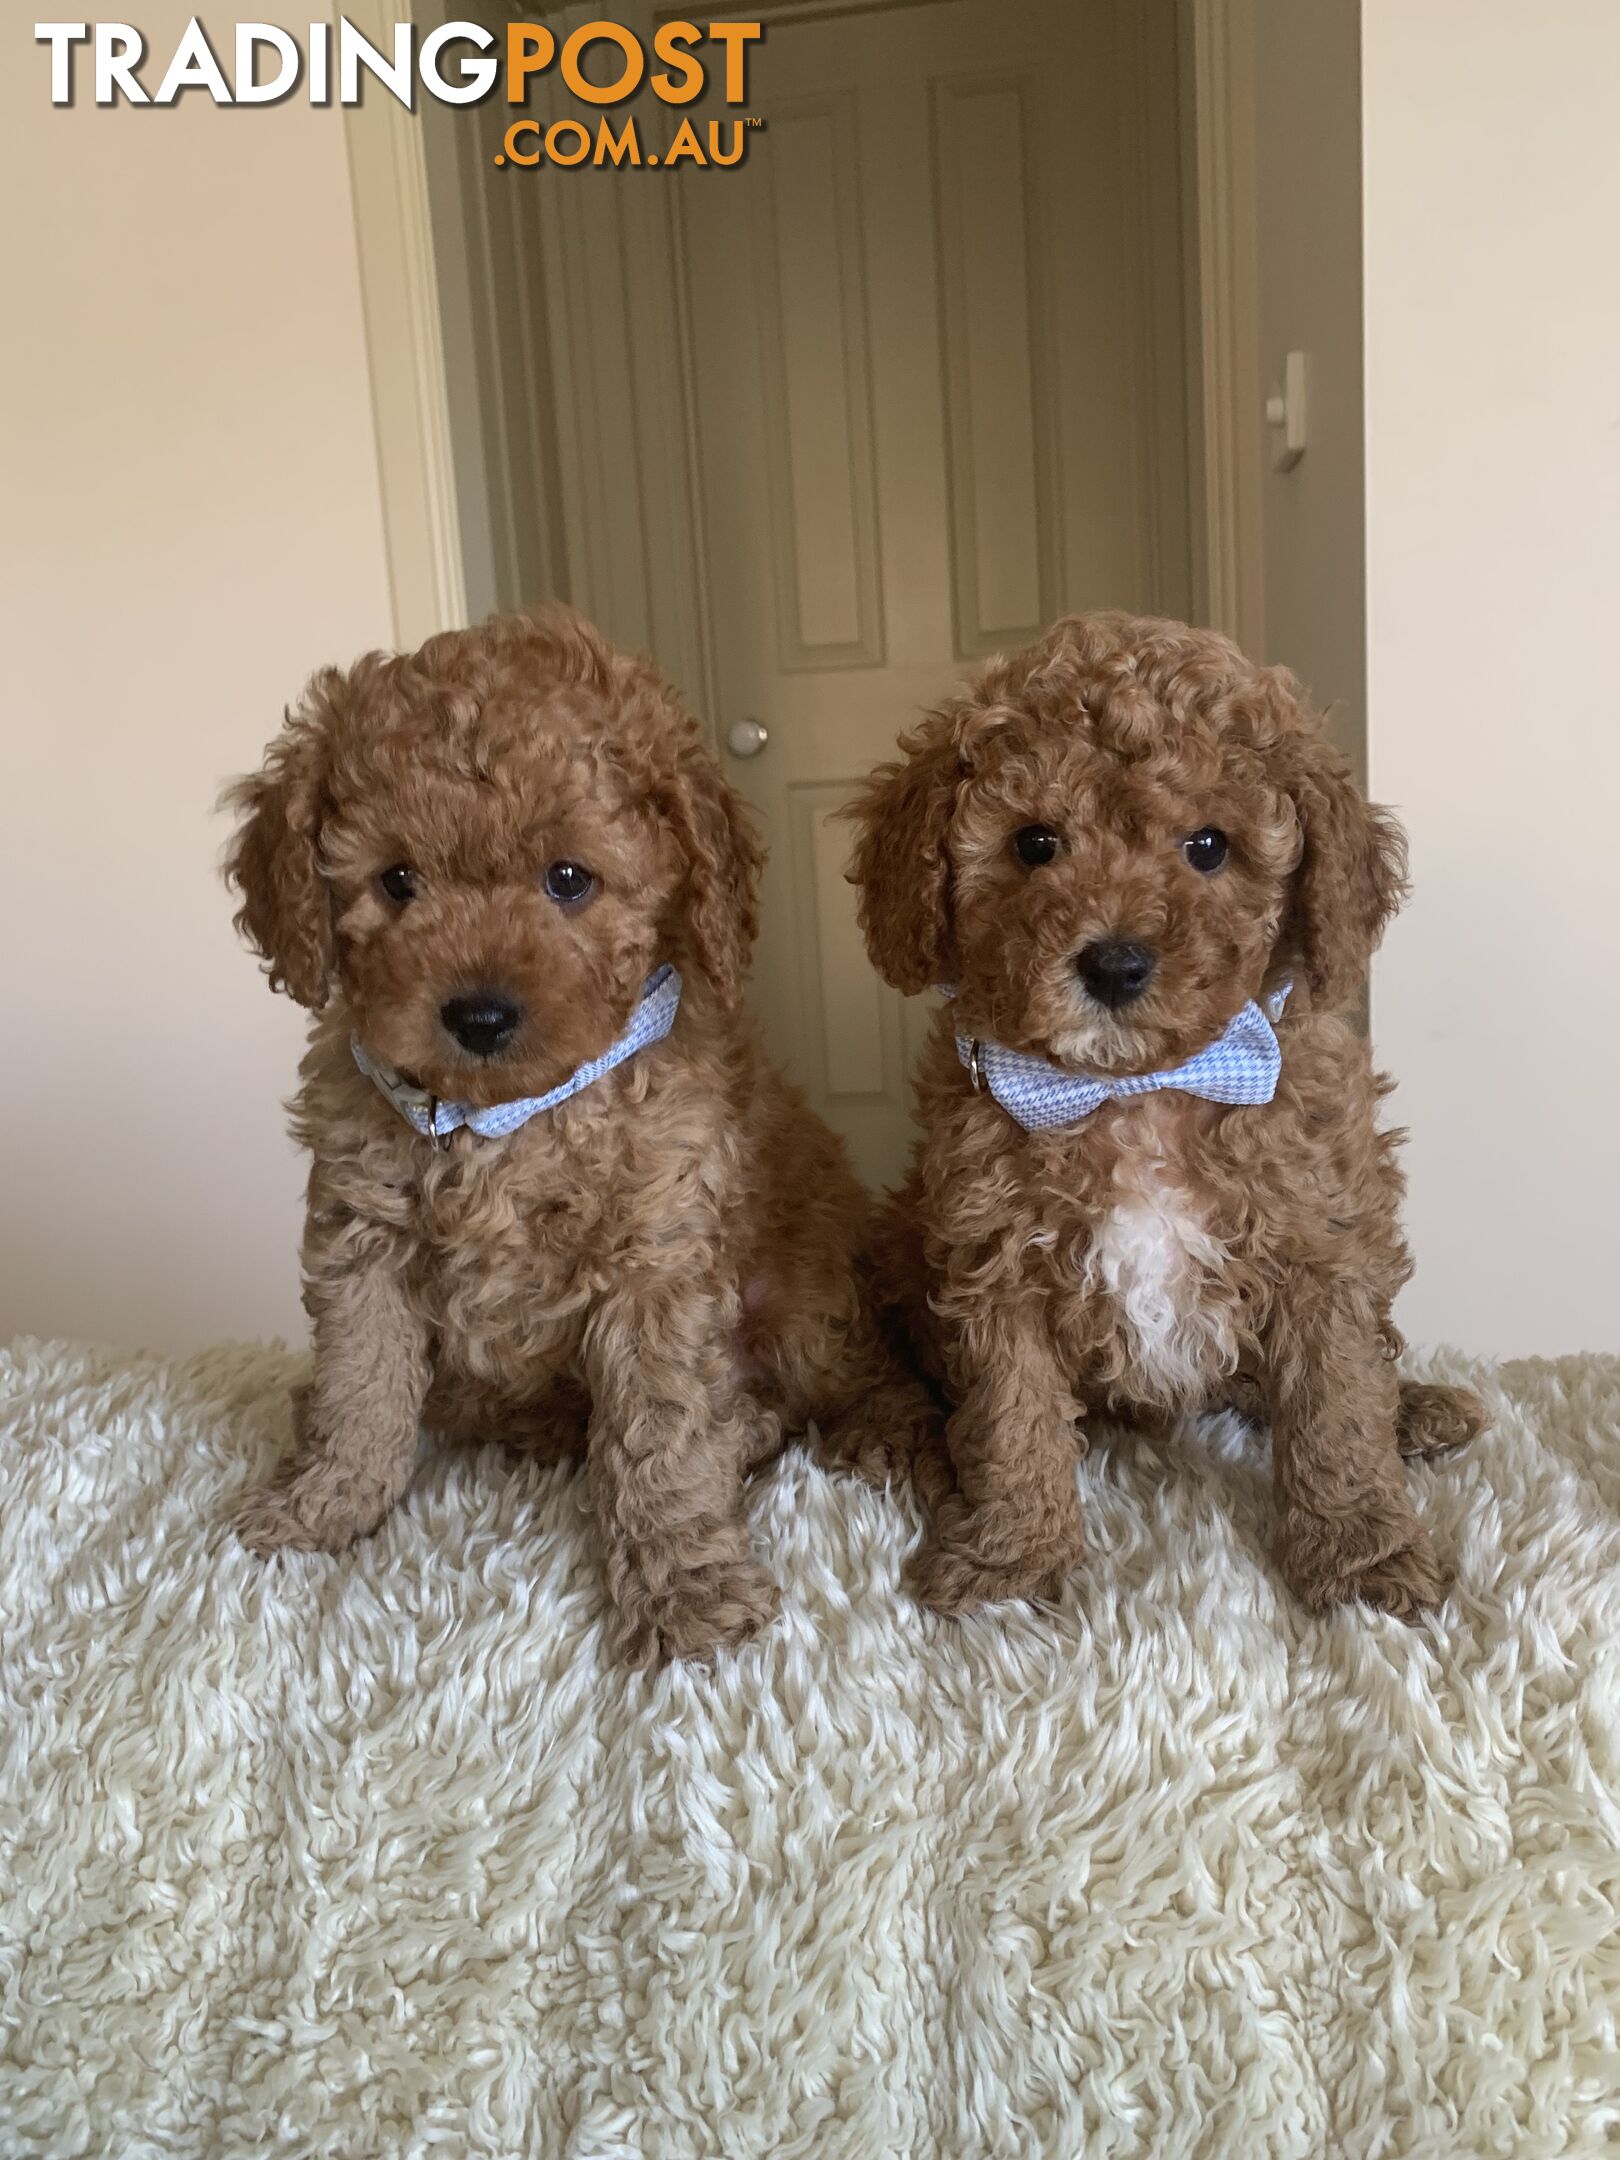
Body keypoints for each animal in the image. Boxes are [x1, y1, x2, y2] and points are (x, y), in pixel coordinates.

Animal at [231, 609, 937, 1667]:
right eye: (396, 882)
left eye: (569, 880)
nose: (479, 1015)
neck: (507, 1118)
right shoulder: (363, 1237)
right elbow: (361, 1386)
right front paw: (323, 1504)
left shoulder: (657, 1261)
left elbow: (661, 1439)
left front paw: (684, 1587)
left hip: (806, 1296)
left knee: (853, 1375)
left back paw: (854, 1429)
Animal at [855, 609, 1494, 1624]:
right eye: (1035, 844)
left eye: (1209, 847)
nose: (1114, 965)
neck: (1134, 1088)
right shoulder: (992, 1252)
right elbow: (1011, 1416)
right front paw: (1012, 1561)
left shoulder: (1321, 1237)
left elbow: (1337, 1406)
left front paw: (1360, 1557)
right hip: (894, 1236)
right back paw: (901, 1438)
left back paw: (1418, 1408)